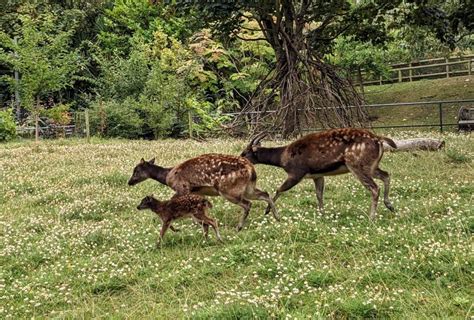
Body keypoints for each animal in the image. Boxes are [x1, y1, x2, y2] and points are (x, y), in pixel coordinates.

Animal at [128, 153, 280, 230]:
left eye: (136, 170)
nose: (129, 182)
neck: (167, 177)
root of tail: (251, 169)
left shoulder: (182, 187)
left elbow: (171, 203)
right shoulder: (197, 192)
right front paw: (199, 223)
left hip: (228, 189)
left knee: (247, 204)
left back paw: (239, 227)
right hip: (248, 188)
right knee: (265, 193)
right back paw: (275, 216)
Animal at [241, 129, 396, 219]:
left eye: (245, 152)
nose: (240, 157)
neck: (283, 158)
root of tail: (379, 139)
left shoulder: (296, 172)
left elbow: (279, 189)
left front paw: (267, 211)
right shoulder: (317, 175)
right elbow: (319, 194)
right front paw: (322, 214)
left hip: (357, 164)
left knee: (375, 187)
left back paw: (371, 217)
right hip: (371, 166)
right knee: (386, 175)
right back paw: (390, 206)